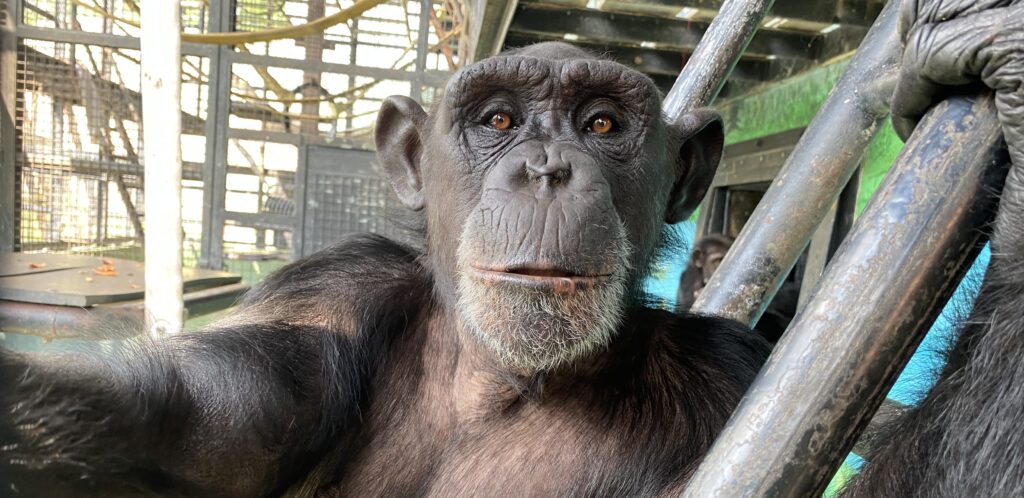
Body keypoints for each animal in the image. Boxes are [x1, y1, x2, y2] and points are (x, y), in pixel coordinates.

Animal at [0, 41, 770, 493]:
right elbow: (187, 425)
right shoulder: (329, 291)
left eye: (603, 125)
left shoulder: (724, 382)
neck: (500, 381)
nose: (547, 170)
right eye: (498, 121)